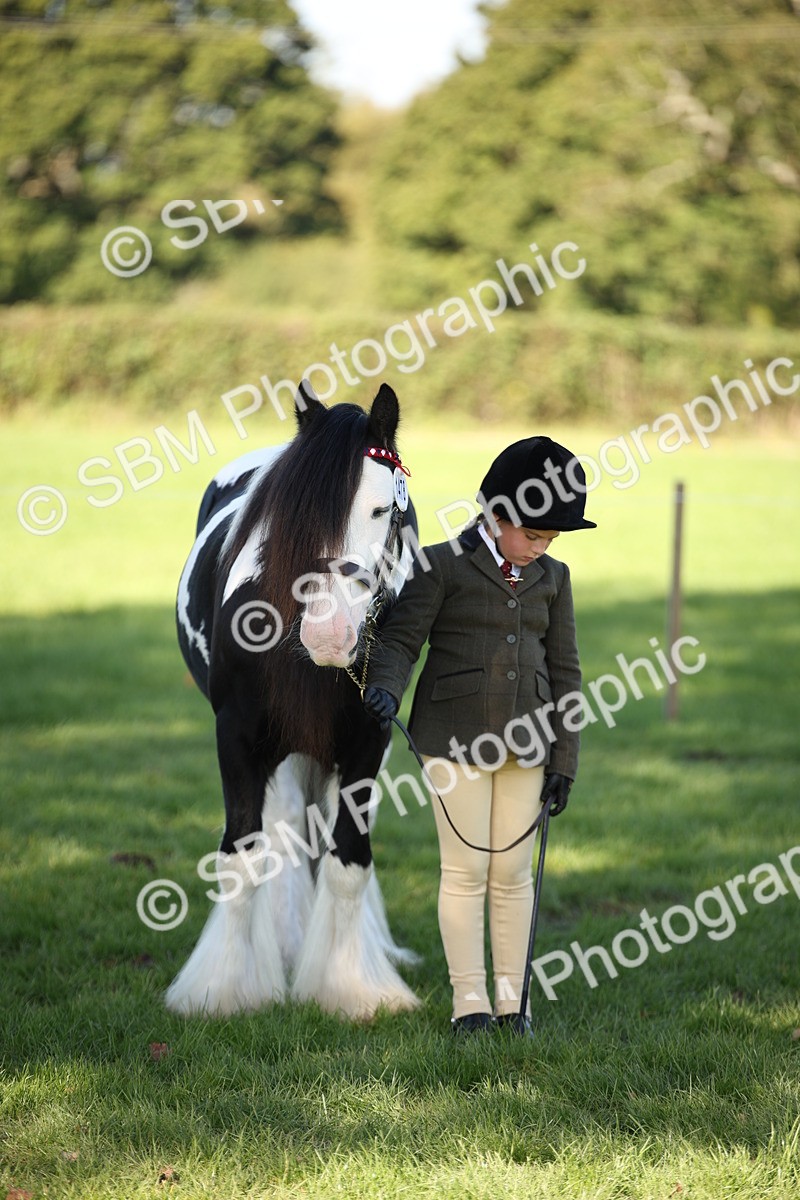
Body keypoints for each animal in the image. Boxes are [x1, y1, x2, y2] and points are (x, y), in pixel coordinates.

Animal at [167, 381, 421, 1019]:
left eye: (385, 511)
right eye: (291, 519)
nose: (329, 635)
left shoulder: (369, 739)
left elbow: (349, 860)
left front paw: (350, 989)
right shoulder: (236, 736)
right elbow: (241, 857)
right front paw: (225, 990)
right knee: (280, 830)